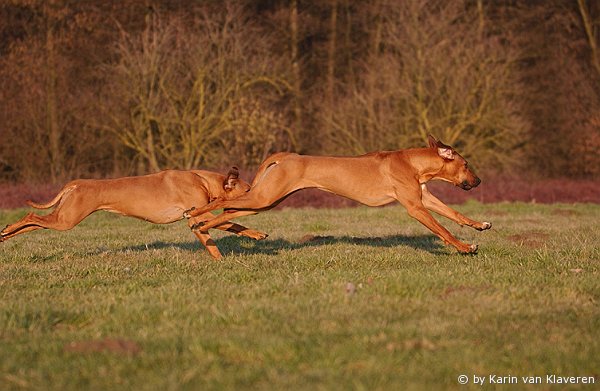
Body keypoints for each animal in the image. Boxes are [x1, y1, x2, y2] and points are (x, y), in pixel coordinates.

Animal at [0, 168, 268, 260]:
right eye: (248, 190)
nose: (259, 198)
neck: (201, 180)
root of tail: (76, 184)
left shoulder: (194, 220)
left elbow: (211, 242)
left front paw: (220, 261)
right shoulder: (199, 216)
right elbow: (234, 224)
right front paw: (257, 234)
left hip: (62, 217)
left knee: (32, 223)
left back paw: (5, 233)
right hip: (66, 220)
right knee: (31, 217)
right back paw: (7, 231)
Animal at [186, 136, 492, 256]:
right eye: (466, 164)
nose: (479, 181)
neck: (414, 163)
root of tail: (287, 156)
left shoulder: (424, 198)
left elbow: (454, 214)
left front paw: (479, 224)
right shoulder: (415, 207)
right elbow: (442, 229)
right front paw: (465, 248)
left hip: (266, 200)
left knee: (228, 211)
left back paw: (205, 225)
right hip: (263, 197)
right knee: (221, 202)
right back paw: (195, 217)